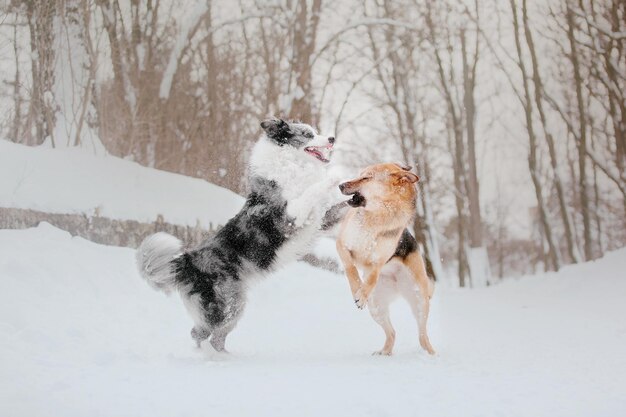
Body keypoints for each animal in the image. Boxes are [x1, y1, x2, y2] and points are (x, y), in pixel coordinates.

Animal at [136, 119, 342, 352]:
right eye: (308, 134)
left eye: (316, 131)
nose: (332, 138)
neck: (291, 163)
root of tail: (185, 262)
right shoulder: (290, 218)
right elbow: (312, 191)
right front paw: (335, 176)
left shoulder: (324, 220)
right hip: (222, 306)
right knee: (199, 334)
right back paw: (207, 356)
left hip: (235, 305)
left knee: (215, 338)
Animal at [336, 162, 434, 354]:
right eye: (360, 174)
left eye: (366, 177)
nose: (341, 185)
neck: (377, 215)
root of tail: (397, 286)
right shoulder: (342, 245)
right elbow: (351, 269)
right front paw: (358, 290)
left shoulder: (377, 262)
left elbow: (372, 278)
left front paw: (361, 293)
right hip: (377, 307)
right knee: (393, 333)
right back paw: (384, 353)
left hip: (419, 301)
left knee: (423, 335)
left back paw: (431, 354)